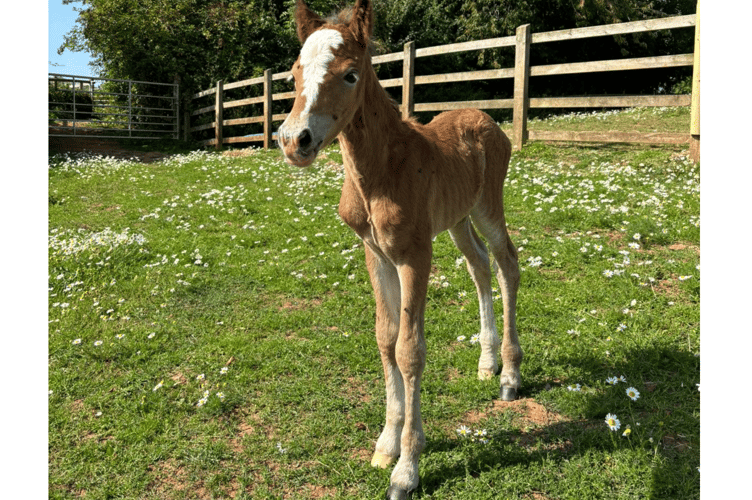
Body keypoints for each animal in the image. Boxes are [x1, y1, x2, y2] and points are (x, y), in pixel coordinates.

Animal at [278, 1, 524, 498]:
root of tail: (487, 119)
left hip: (488, 205)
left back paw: (509, 375)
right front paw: (386, 444)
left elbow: (410, 349)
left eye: (350, 74)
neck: (379, 171)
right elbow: (385, 338)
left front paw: (406, 469)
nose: (294, 141)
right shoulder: (376, 254)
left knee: (507, 263)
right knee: (479, 266)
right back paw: (487, 362)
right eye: (294, 72)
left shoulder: (414, 255)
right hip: (457, 219)